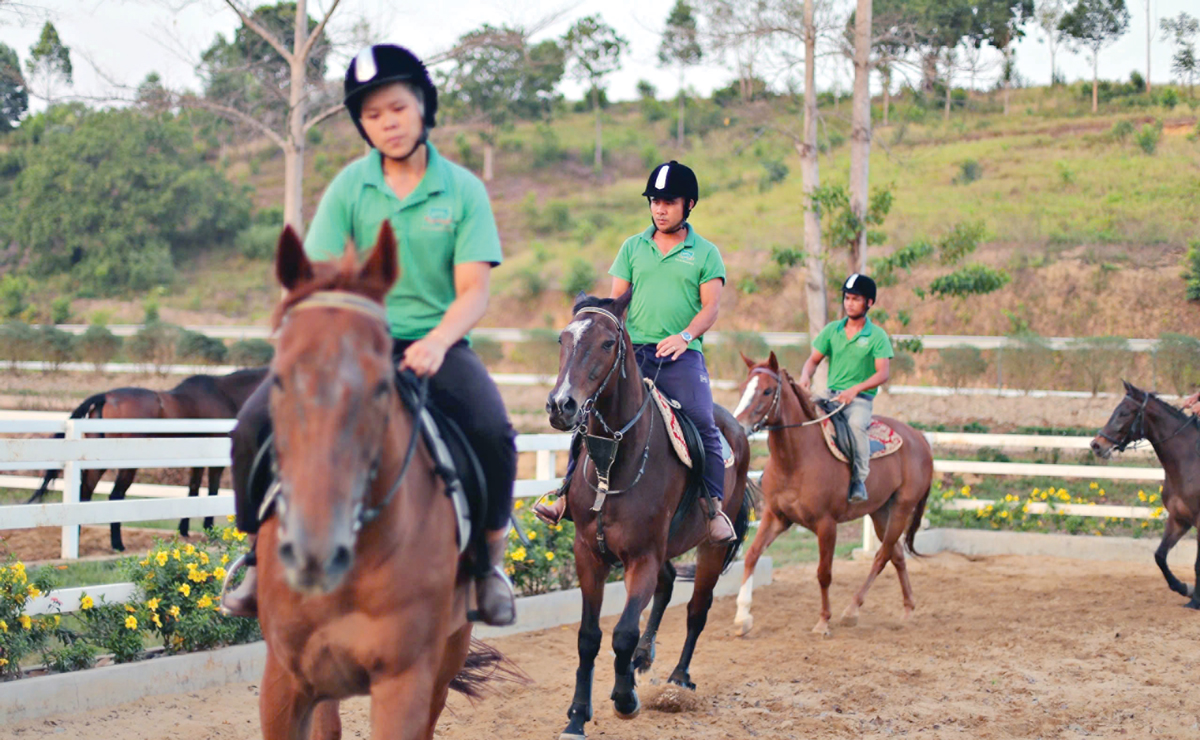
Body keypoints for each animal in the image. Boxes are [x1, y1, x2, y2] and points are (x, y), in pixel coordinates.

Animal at [29, 364, 268, 549]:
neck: (224, 395)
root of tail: (106, 397)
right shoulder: (215, 461)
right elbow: (211, 492)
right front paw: (209, 531)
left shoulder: (197, 460)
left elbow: (193, 491)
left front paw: (185, 530)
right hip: (127, 464)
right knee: (115, 495)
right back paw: (117, 544)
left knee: (86, 492)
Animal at [250, 223, 499, 738]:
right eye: (278, 379)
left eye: (382, 386)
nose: (314, 554)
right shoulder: (284, 680)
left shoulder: (403, 682)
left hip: (448, 653)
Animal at [544, 290, 748, 738]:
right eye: (562, 339)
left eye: (607, 343)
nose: (561, 405)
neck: (613, 460)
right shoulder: (589, 555)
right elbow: (588, 636)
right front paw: (577, 716)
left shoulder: (642, 558)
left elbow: (621, 632)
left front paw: (625, 700)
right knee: (668, 586)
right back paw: (642, 659)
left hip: (708, 548)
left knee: (696, 610)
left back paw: (678, 679)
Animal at [729, 352, 936, 633]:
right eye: (743, 388)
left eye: (767, 390)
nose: (738, 426)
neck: (797, 459)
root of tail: (919, 437)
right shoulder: (776, 517)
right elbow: (751, 556)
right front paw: (742, 616)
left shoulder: (826, 524)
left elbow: (823, 573)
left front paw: (823, 620)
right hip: (881, 512)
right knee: (897, 555)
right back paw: (907, 609)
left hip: (902, 508)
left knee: (882, 556)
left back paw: (852, 610)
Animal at [1089, 381, 1200, 606]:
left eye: (1124, 413)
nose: (1096, 445)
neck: (1188, 462)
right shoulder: (1179, 518)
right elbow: (1160, 556)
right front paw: (1185, 588)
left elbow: (1198, 563)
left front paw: (1196, 600)